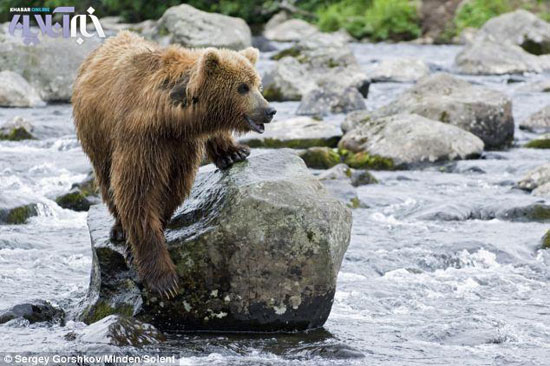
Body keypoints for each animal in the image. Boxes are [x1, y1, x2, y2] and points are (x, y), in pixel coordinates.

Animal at [73, 32, 278, 298]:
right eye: (242, 87)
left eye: (258, 85)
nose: (269, 110)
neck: (170, 118)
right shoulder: (142, 140)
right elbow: (137, 193)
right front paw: (164, 280)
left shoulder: (180, 146)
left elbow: (172, 189)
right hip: (96, 135)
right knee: (107, 181)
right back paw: (118, 228)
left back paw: (232, 153)